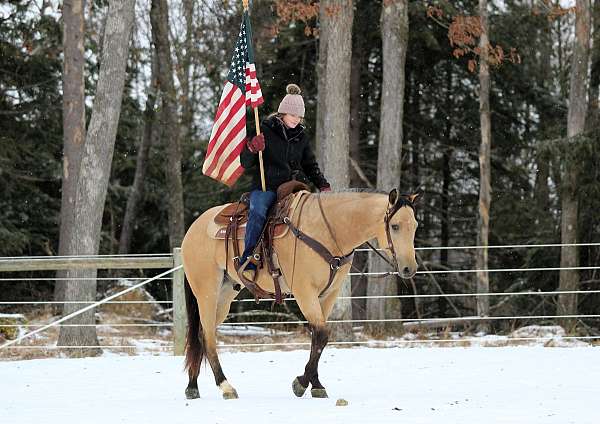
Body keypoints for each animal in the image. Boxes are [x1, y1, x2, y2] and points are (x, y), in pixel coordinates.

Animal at [180, 189, 420, 400]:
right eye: (395, 226)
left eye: (415, 226)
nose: (409, 268)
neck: (327, 231)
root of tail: (192, 229)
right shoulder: (304, 291)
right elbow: (321, 334)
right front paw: (301, 383)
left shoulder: (328, 295)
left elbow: (317, 338)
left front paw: (316, 385)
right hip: (207, 292)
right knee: (208, 337)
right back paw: (226, 386)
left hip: (225, 294)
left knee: (201, 334)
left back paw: (192, 387)